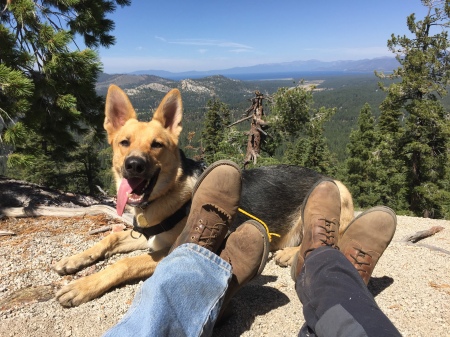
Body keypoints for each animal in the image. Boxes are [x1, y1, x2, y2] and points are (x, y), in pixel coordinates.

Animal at [54, 84, 354, 308]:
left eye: (157, 145)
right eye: (124, 143)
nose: (134, 165)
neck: (169, 194)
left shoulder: (166, 252)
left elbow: (123, 264)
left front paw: (82, 286)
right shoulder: (147, 237)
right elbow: (111, 238)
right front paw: (75, 260)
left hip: (339, 192)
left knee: (336, 236)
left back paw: (290, 253)